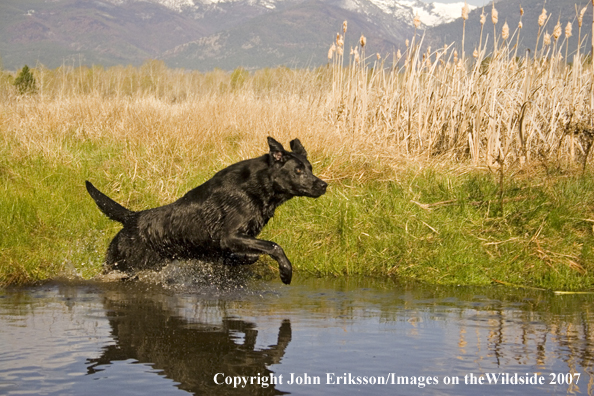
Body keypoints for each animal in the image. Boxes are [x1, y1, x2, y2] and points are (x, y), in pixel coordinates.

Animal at [85, 138, 326, 284]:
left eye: (310, 168)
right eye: (298, 170)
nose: (323, 185)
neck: (257, 186)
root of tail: (131, 217)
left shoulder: (237, 241)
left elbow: (249, 254)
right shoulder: (230, 236)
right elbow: (274, 246)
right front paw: (286, 272)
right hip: (121, 266)